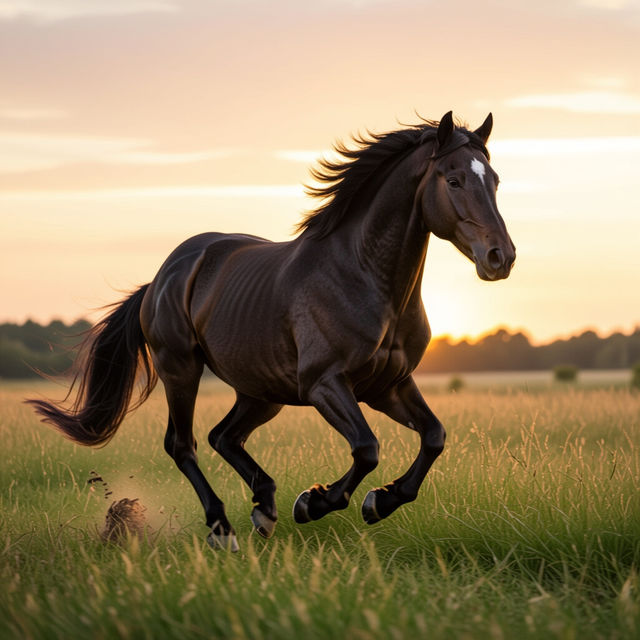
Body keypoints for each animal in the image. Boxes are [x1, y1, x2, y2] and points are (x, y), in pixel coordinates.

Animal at [29, 111, 515, 551]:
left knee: (223, 436)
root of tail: (164, 275)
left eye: (494, 180)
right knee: (183, 444)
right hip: (181, 369)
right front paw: (315, 502)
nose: (501, 257)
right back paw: (223, 528)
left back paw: (264, 507)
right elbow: (367, 447)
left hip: (262, 392)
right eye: (453, 181)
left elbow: (433, 437)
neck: (362, 275)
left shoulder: (388, 385)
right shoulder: (324, 384)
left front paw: (380, 501)